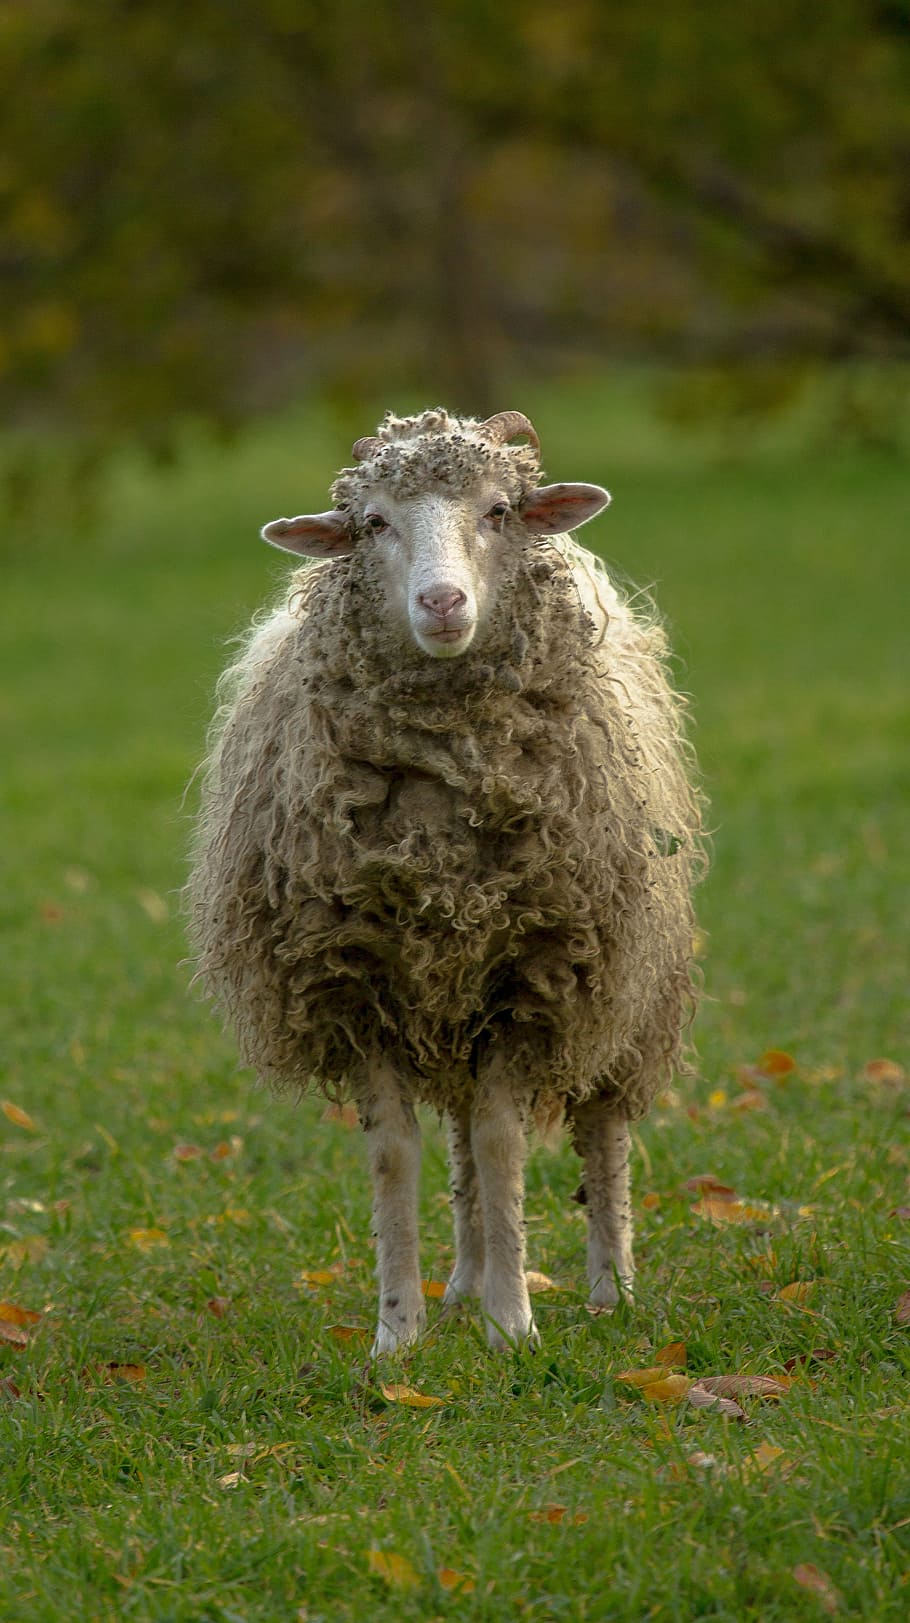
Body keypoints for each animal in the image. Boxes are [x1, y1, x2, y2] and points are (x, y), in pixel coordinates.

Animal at [188, 407, 705, 1355]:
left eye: (499, 510)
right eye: (372, 522)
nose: (442, 603)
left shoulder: (535, 974)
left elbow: (504, 1143)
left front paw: (514, 1324)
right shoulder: (359, 983)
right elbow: (401, 1153)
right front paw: (401, 1330)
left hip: (627, 982)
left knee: (601, 1128)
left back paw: (610, 1285)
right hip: (450, 995)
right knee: (460, 1130)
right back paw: (464, 1277)